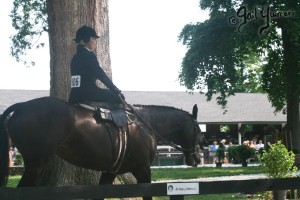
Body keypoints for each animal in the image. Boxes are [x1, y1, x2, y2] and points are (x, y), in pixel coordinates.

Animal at [0, 96, 203, 198]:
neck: (144, 124)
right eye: (198, 131)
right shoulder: (143, 170)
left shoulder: (110, 172)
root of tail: (22, 106)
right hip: (35, 165)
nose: (196, 158)